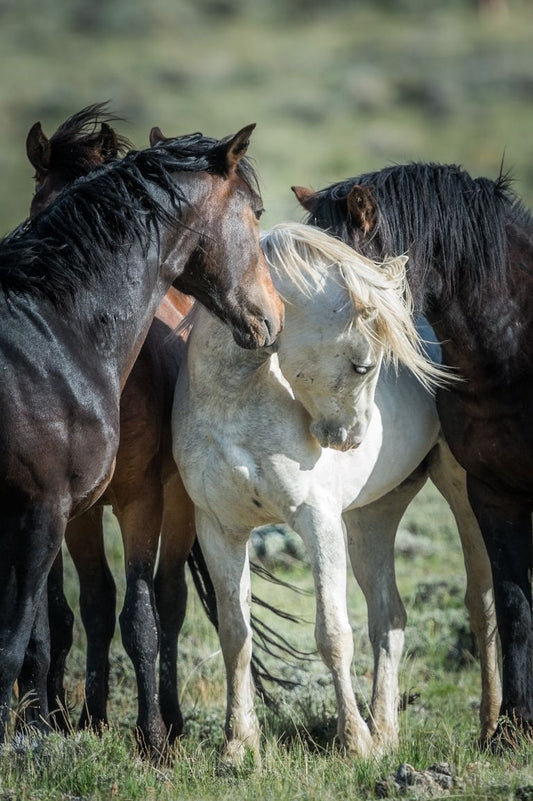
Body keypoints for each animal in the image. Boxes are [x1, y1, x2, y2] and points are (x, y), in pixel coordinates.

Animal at [0, 117, 282, 752]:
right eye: (35, 204)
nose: (273, 316)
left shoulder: (138, 501)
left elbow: (142, 617)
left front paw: (150, 738)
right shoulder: (62, 512)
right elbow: (59, 621)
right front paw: (52, 720)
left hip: (178, 502)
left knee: (170, 600)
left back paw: (168, 722)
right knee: (96, 606)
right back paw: (90, 714)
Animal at [171, 223, 498, 764]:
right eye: (365, 366)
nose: (353, 439)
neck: (234, 399)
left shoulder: (316, 520)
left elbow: (332, 635)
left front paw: (354, 741)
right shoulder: (220, 530)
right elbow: (236, 636)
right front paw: (238, 744)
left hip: (462, 493)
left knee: (482, 602)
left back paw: (491, 726)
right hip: (372, 517)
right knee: (389, 617)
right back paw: (387, 732)